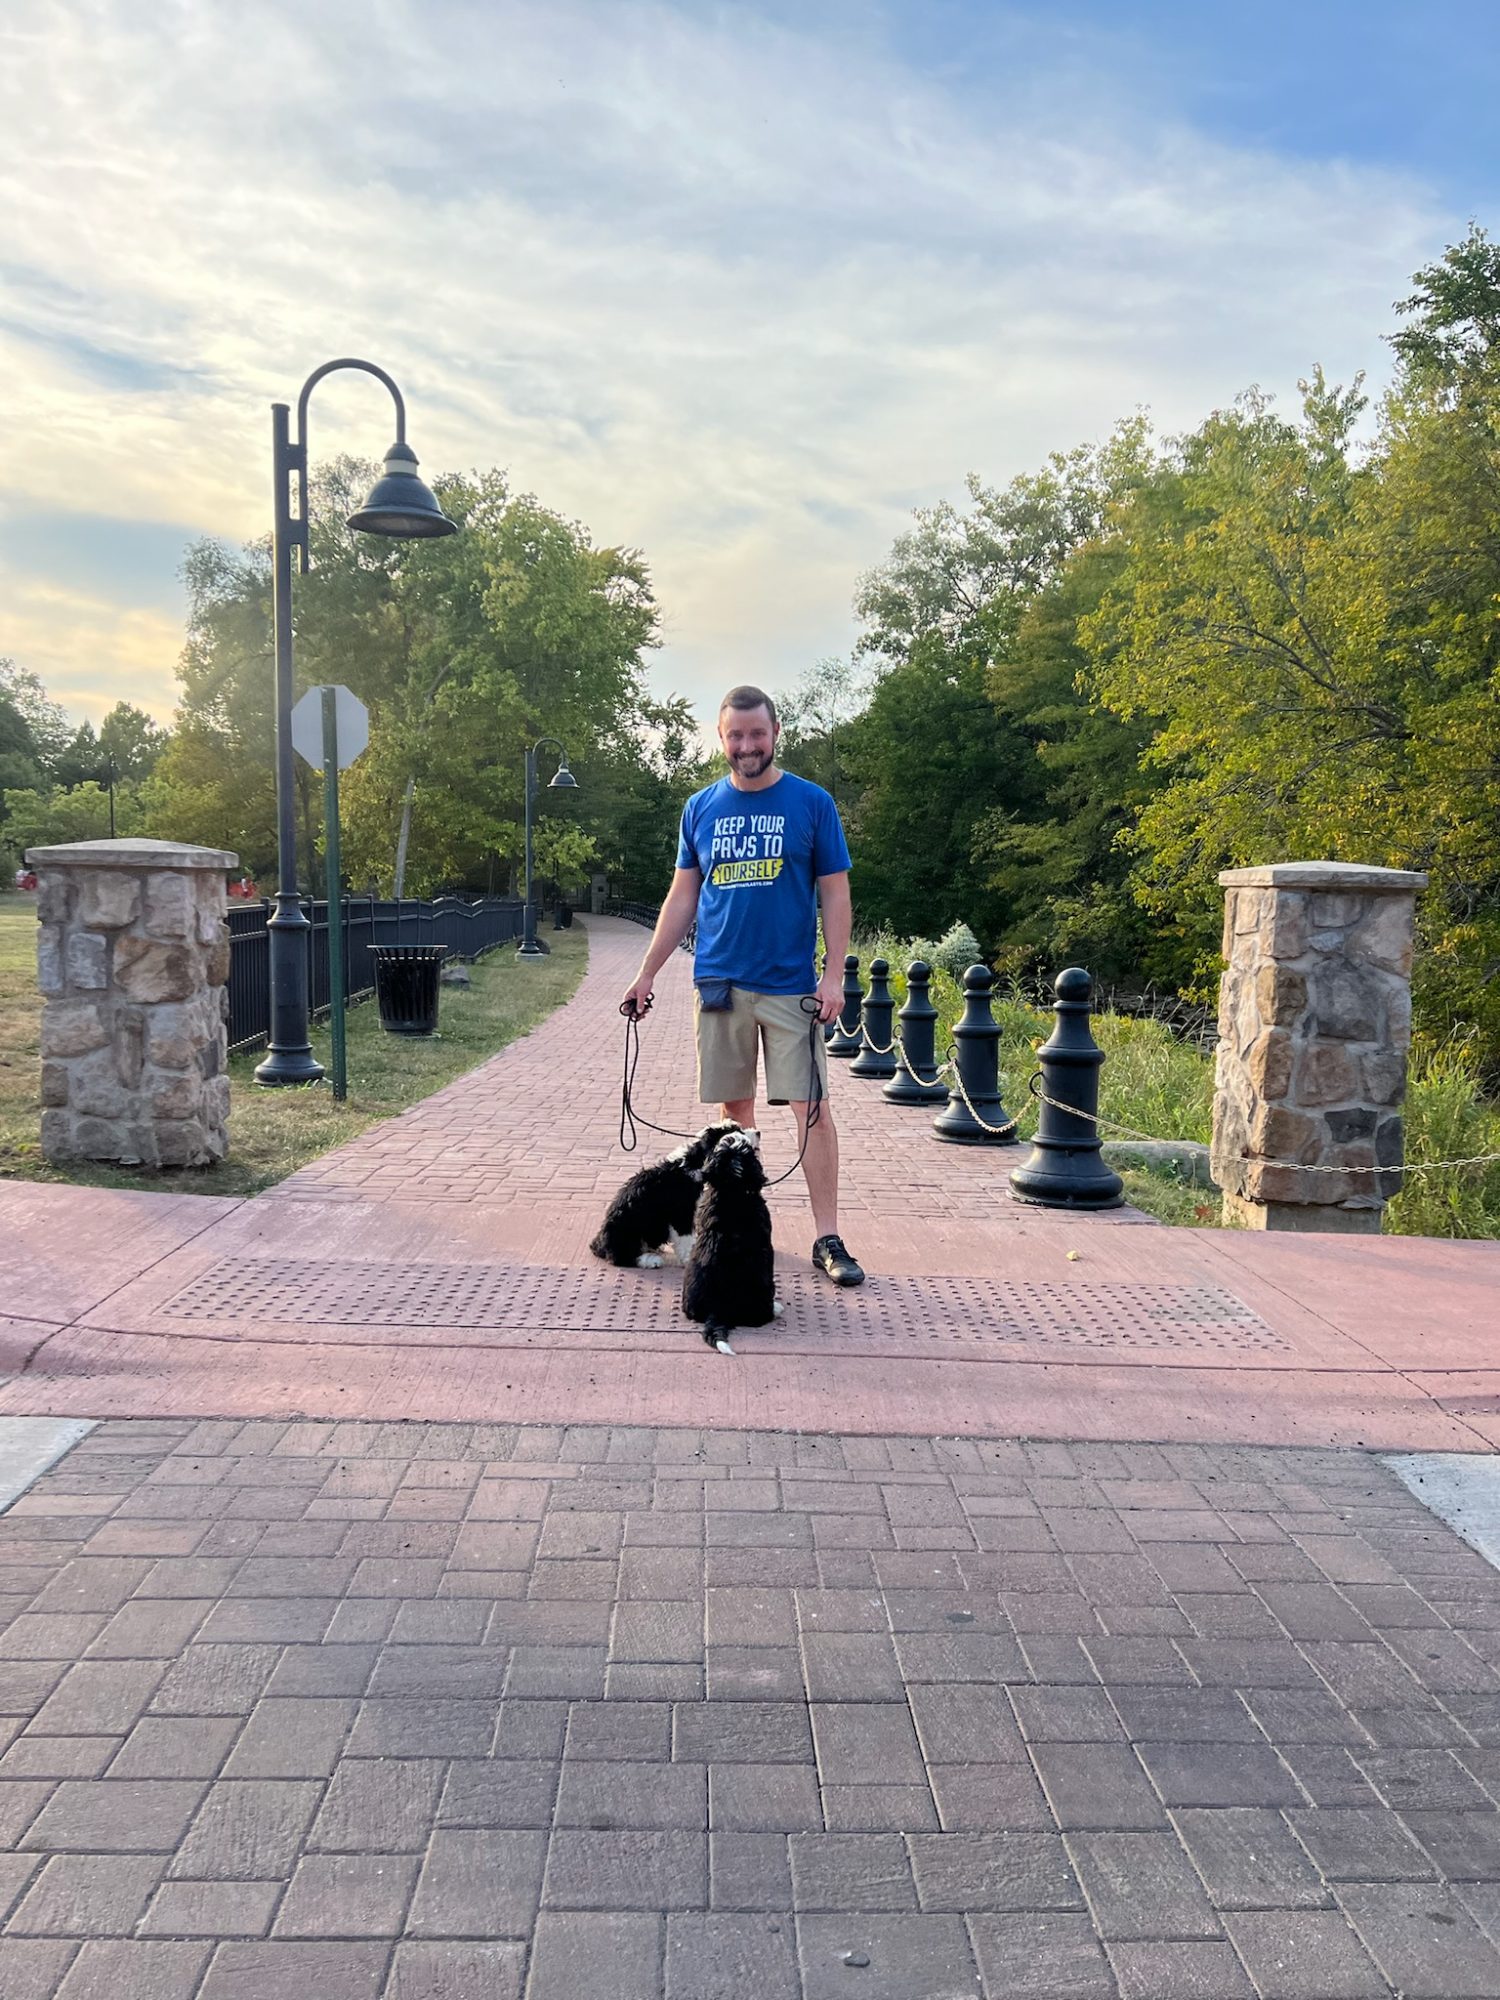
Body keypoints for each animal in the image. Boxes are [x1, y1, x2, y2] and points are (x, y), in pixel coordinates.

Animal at [592, 1120, 748, 1272]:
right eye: (733, 1134)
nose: (751, 1134)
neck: (692, 1163)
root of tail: (599, 1243)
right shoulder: (682, 1213)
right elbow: (685, 1238)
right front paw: (688, 1258)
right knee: (622, 1257)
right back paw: (650, 1260)